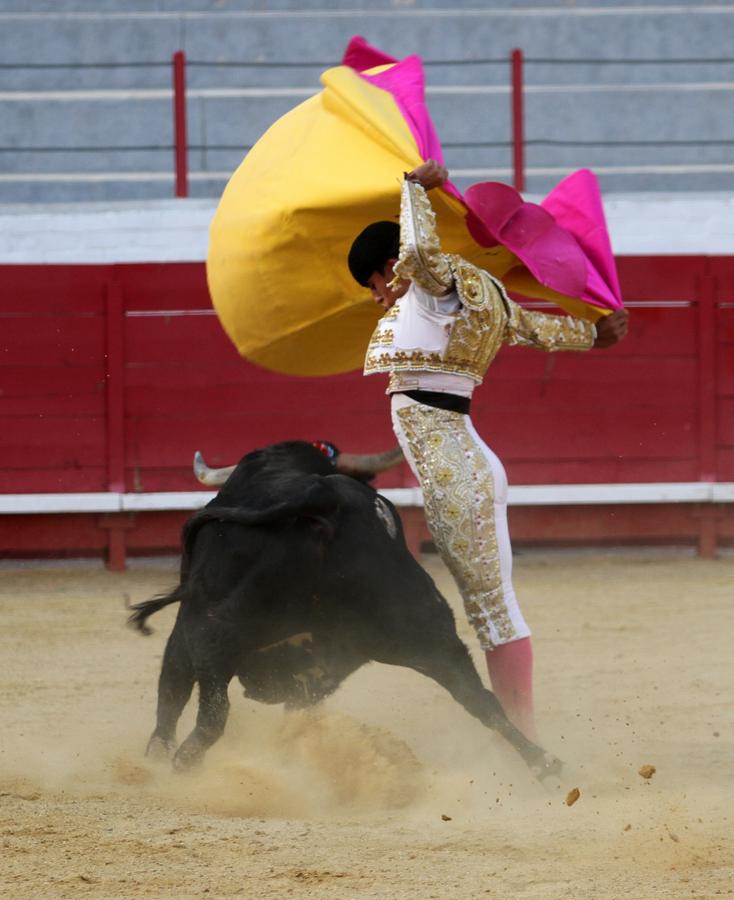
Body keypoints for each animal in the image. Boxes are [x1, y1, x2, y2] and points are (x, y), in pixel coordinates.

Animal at [128, 442, 564, 780]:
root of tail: (324, 499)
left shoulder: (186, 619)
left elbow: (171, 690)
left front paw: (154, 755)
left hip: (207, 619)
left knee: (211, 703)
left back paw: (182, 765)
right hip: (421, 623)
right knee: (478, 695)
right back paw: (545, 765)